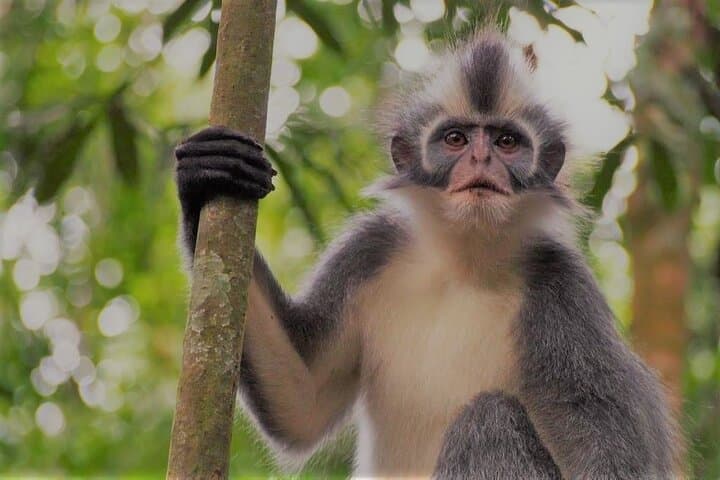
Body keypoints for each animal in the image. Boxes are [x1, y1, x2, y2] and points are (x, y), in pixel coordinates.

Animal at [174, 29, 679, 479]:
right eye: (456, 139)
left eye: (506, 142)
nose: (481, 162)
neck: (465, 263)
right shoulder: (372, 249)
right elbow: (302, 399)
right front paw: (205, 175)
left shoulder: (563, 289)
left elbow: (614, 456)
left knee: (489, 418)